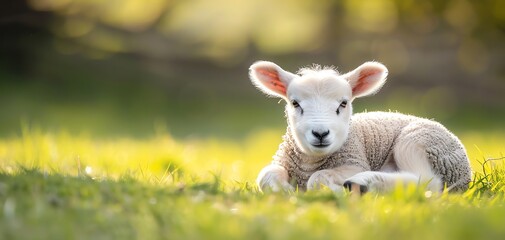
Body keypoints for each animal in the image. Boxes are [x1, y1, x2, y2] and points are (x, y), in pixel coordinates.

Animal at [249, 61, 472, 194]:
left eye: (343, 103)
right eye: (295, 103)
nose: (320, 133)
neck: (310, 162)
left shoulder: (354, 163)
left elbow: (318, 177)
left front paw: (335, 190)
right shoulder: (281, 161)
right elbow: (265, 175)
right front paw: (285, 191)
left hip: (417, 140)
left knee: (429, 182)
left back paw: (364, 182)